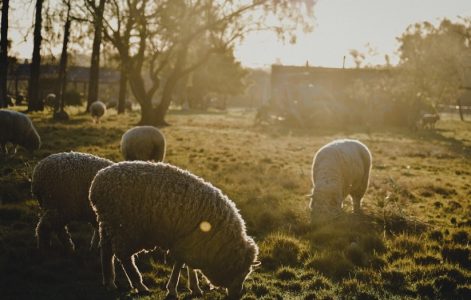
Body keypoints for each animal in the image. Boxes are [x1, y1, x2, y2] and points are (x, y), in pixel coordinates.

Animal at [90, 162, 260, 300]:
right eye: (242, 271)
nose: (237, 295)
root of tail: (97, 182)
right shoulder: (188, 241)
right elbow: (179, 264)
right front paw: (173, 289)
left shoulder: (193, 241)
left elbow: (189, 265)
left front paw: (195, 288)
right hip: (124, 228)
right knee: (124, 257)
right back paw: (140, 285)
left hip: (108, 223)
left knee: (106, 251)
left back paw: (110, 282)